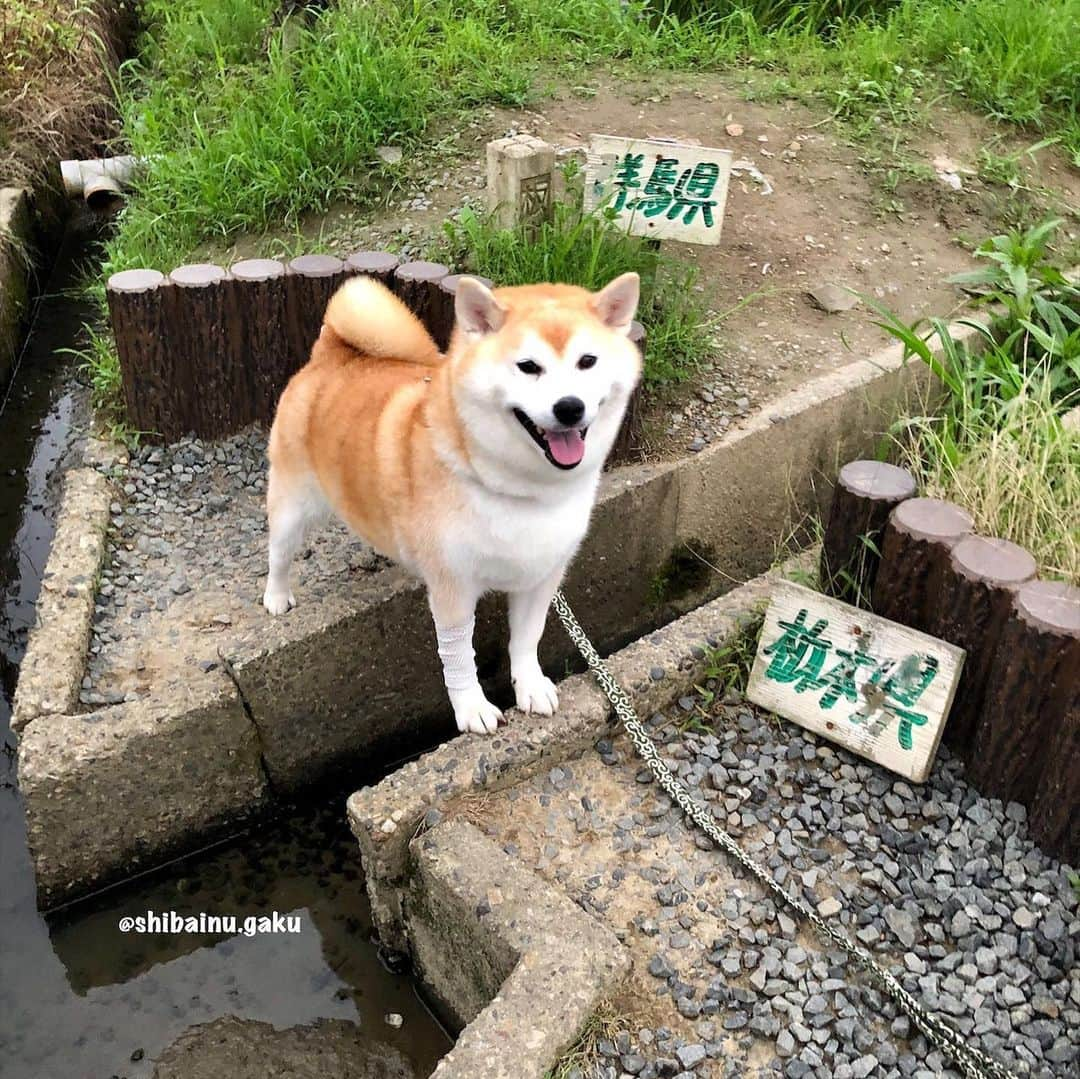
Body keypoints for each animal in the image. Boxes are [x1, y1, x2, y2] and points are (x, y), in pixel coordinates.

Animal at [262, 274, 639, 738]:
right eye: (528, 366)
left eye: (588, 361)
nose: (569, 407)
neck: (523, 492)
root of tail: (331, 353)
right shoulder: (453, 587)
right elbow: (459, 658)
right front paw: (471, 707)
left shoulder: (541, 576)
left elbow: (527, 638)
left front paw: (530, 686)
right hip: (292, 506)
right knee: (279, 553)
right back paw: (277, 596)